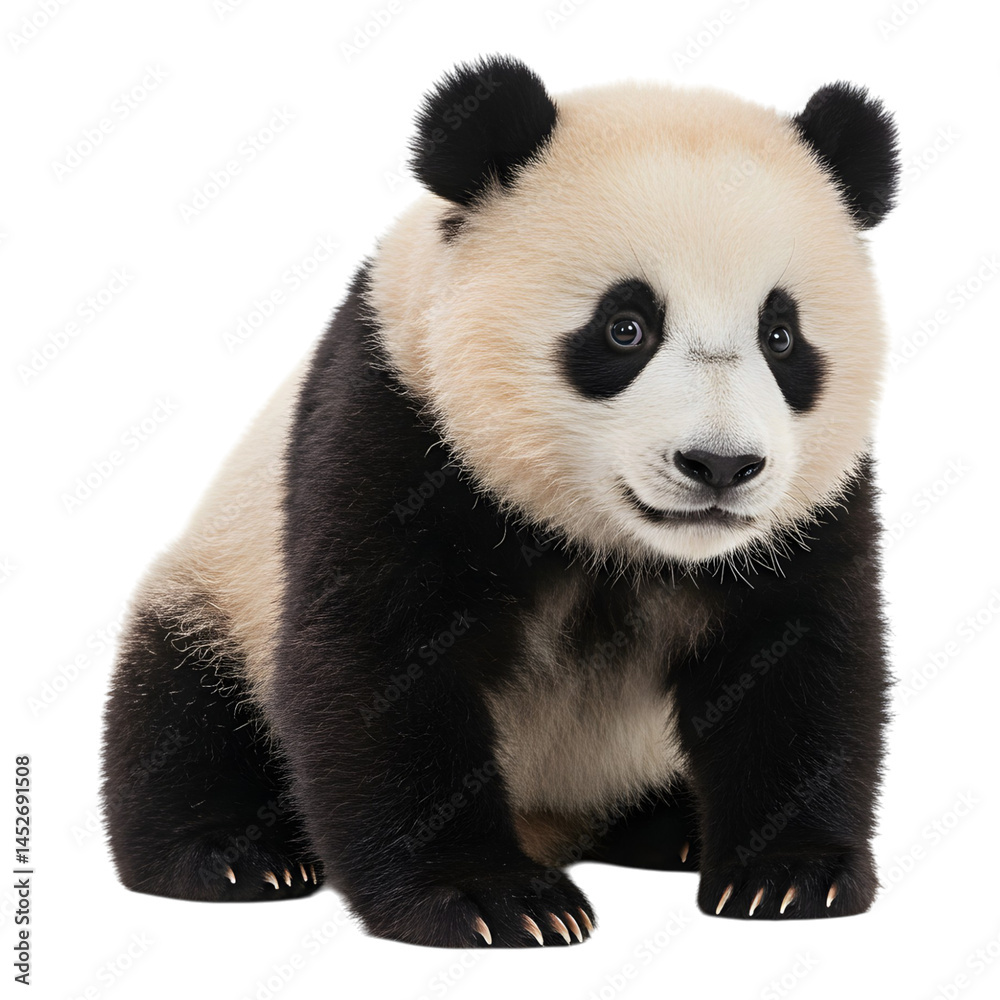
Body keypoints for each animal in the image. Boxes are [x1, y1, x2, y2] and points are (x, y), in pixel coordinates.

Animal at [101, 55, 900, 948]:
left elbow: (797, 659)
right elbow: (380, 664)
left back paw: (675, 830)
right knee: (182, 709)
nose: (720, 466)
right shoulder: (399, 422)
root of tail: (555, 824)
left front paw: (790, 875)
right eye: (625, 328)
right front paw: (492, 898)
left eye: (781, 337)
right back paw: (233, 856)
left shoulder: (811, 510)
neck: (610, 543)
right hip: (220, 583)